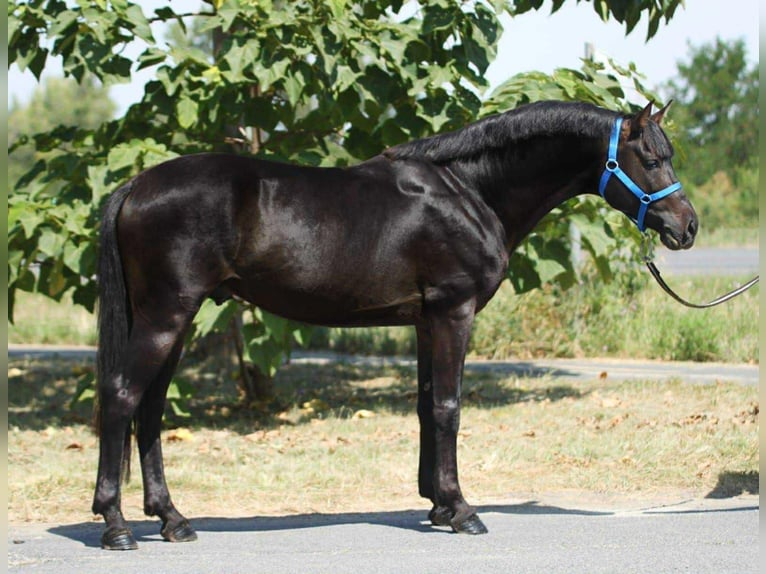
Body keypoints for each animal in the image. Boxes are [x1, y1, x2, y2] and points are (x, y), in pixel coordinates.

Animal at [92, 100, 698, 550]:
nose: (687, 227)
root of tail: (136, 186)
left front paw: (438, 505)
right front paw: (463, 511)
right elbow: (449, 408)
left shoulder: (427, 321)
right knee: (122, 398)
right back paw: (117, 525)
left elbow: (427, 406)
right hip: (167, 314)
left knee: (150, 410)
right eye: (651, 159)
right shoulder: (453, 312)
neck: (468, 192)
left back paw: (172, 520)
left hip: (175, 319)